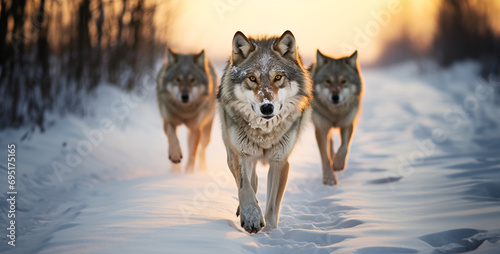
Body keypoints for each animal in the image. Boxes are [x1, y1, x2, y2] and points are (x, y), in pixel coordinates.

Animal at [217, 30, 310, 233]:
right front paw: (252, 218)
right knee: (251, 180)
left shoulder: (280, 161)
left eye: (278, 77)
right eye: (252, 78)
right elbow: (245, 187)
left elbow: (273, 206)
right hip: (230, 153)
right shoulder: (241, 154)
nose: (267, 108)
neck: (265, 133)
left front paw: (269, 232)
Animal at [308, 50, 364, 185]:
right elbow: (325, 157)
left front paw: (338, 164)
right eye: (327, 81)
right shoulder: (321, 129)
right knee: (330, 144)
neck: (335, 113)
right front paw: (329, 178)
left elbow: (344, 147)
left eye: (344, 81)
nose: (335, 97)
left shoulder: (348, 124)